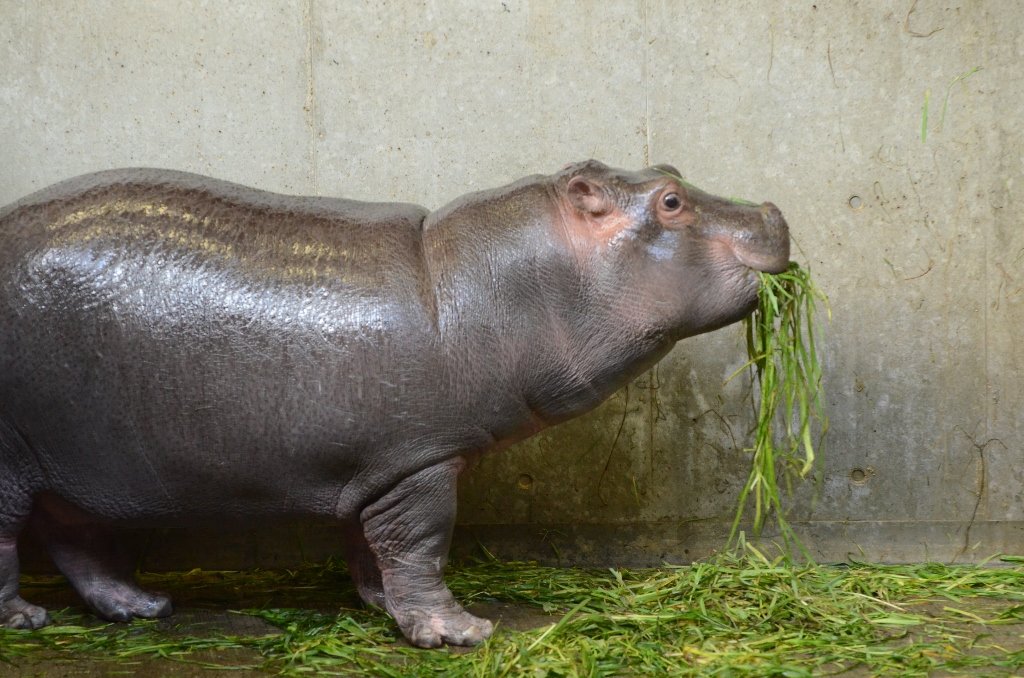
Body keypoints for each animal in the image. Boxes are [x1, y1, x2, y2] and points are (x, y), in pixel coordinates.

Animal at [0, 161, 786, 651]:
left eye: (670, 170)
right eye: (671, 202)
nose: (773, 209)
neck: (468, 283)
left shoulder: (375, 466)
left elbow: (371, 545)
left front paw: (381, 605)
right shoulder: (420, 462)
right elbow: (421, 544)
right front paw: (460, 633)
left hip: (68, 458)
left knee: (75, 538)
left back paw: (142, 607)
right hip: (14, 460)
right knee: (14, 540)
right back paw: (25, 619)